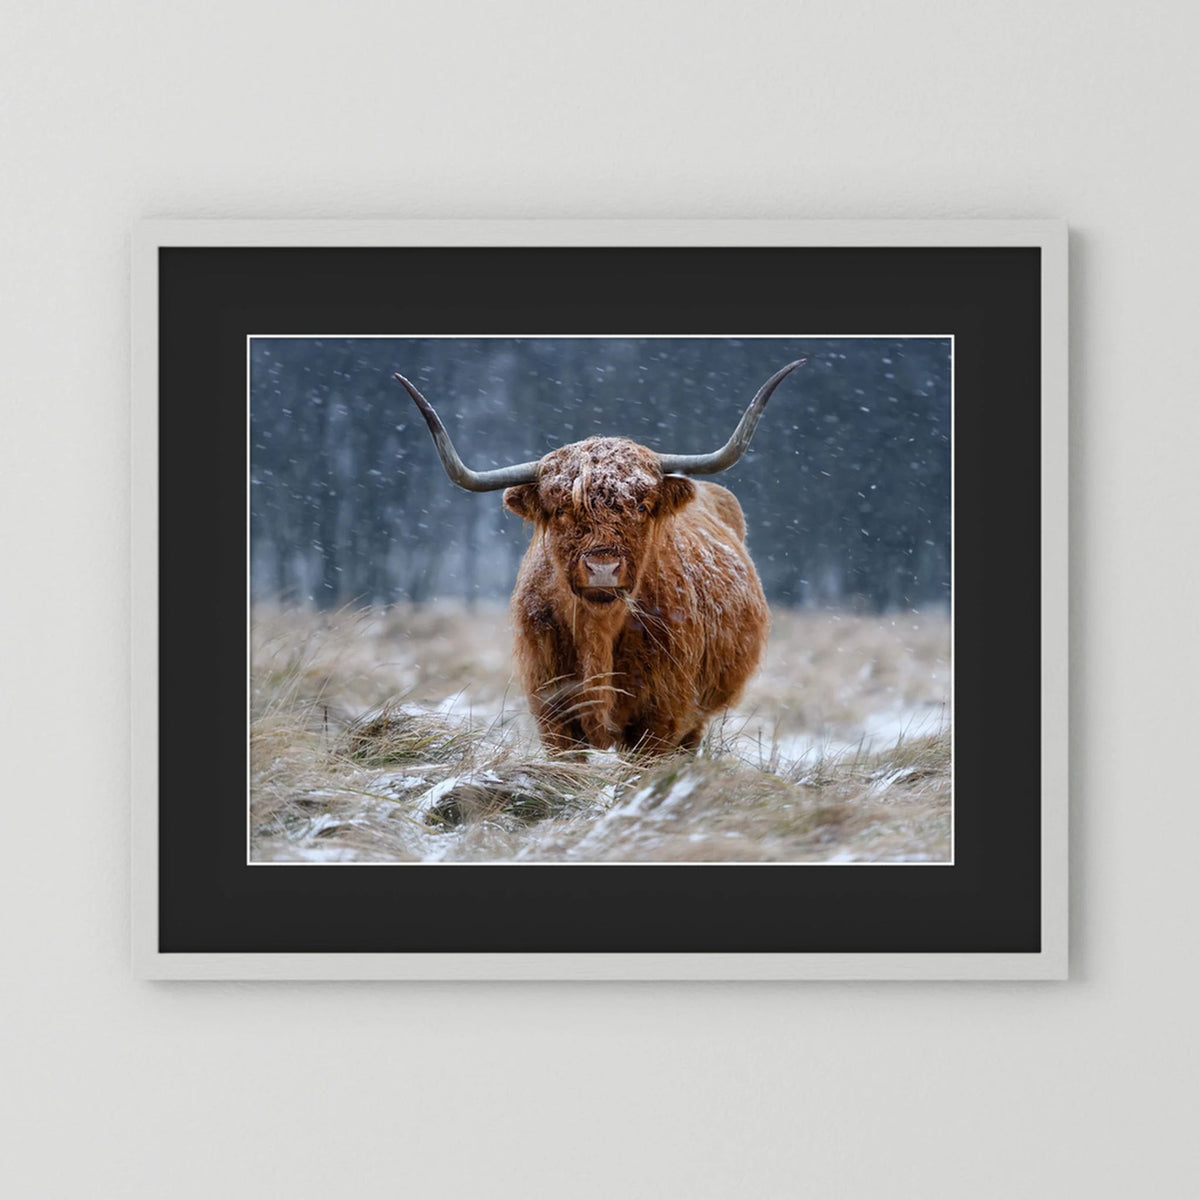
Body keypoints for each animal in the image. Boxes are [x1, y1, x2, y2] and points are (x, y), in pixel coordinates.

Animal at [393, 361, 804, 755]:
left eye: (641, 506)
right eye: (561, 509)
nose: (602, 569)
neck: (598, 633)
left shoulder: (662, 717)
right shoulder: (553, 714)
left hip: (696, 718)